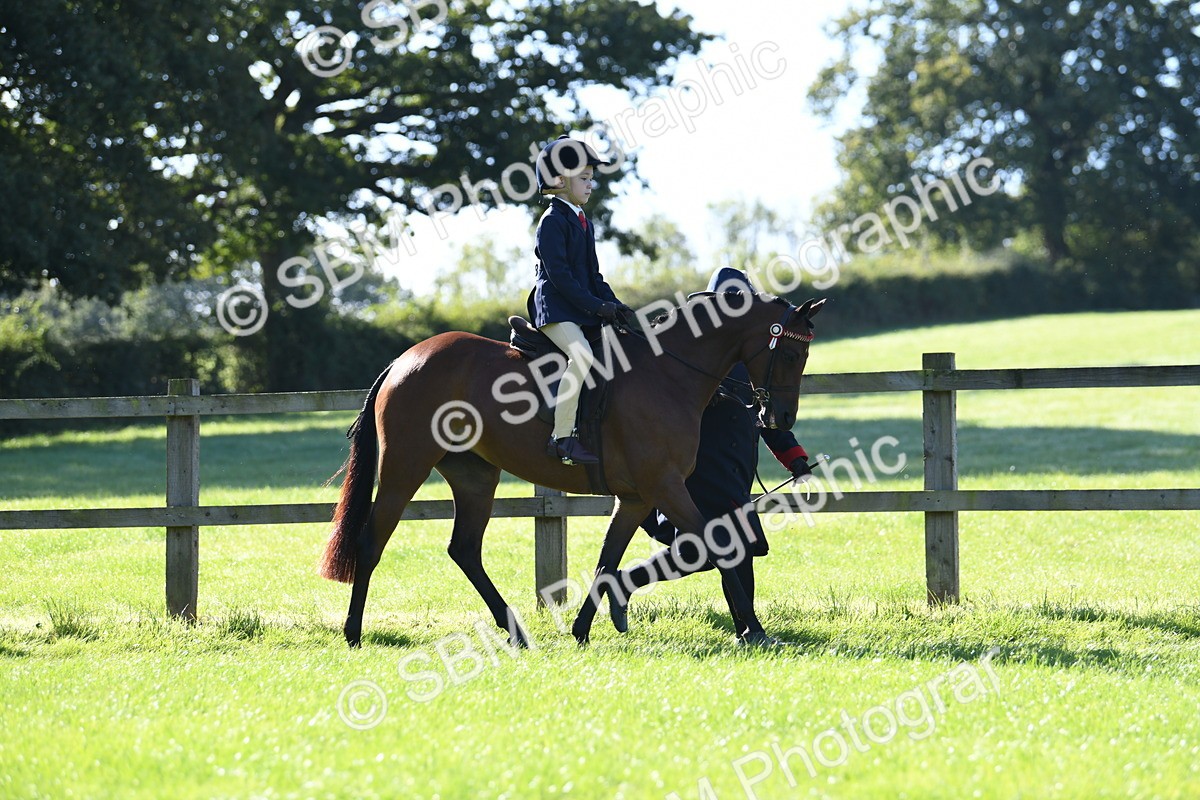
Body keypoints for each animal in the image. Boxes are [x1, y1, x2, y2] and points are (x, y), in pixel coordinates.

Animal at [319, 290, 825, 647]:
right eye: (792, 354)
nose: (780, 419)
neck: (667, 373)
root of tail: (405, 359)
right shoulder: (666, 487)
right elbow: (717, 544)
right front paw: (754, 630)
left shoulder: (637, 497)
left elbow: (607, 560)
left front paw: (582, 630)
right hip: (405, 469)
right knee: (371, 542)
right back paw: (353, 632)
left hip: (475, 477)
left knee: (464, 550)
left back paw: (515, 631)